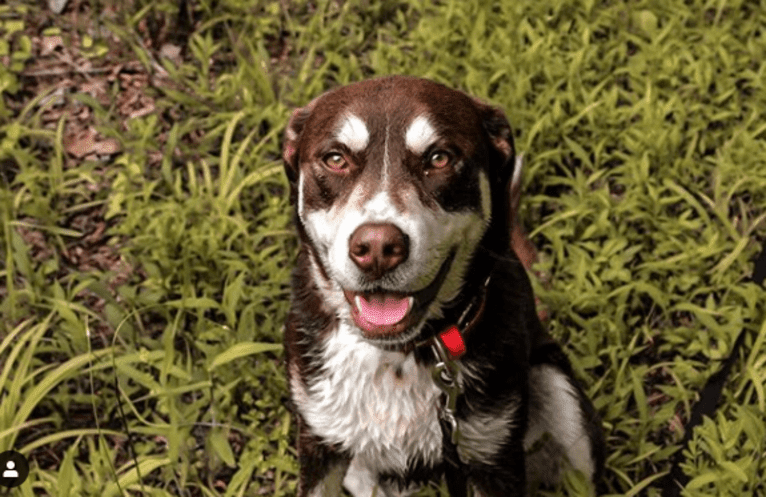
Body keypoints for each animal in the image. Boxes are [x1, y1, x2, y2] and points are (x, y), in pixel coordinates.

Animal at [282, 75, 608, 494]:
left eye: (439, 158)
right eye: (335, 159)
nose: (377, 249)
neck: (398, 355)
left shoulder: (491, 453)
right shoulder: (319, 441)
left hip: (563, 405)